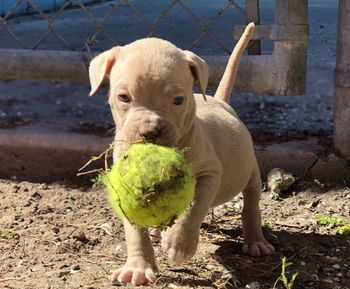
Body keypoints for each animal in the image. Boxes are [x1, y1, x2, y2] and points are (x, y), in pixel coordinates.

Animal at [89, 23, 274, 284]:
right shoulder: (126, 186)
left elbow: (194, 207)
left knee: (251, 201)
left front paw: (180, 245)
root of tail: (219, 101)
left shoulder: (209, 174)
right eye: (123, 97)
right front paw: (137, 267)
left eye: (178, 100)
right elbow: (134, 229)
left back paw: (256, 241)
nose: (151, 131)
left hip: (250, 171)